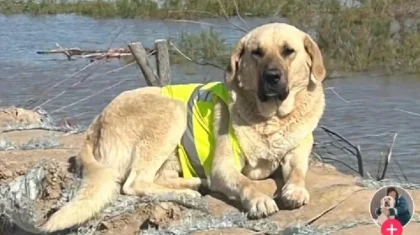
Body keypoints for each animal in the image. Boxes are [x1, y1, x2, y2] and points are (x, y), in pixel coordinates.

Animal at [35, 23, 324, 232]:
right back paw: (189, 193)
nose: (272, 77)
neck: (271, 119)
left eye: (288, 51)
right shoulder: (223, 167)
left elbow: (298, 171)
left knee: (154, 178)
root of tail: (94, 126)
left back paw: (193, 184)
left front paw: (295, 189)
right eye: (257, 53)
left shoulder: (297, 152)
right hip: (172, 110)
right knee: (134, 183)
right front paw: (258, 199)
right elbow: (244, 181)